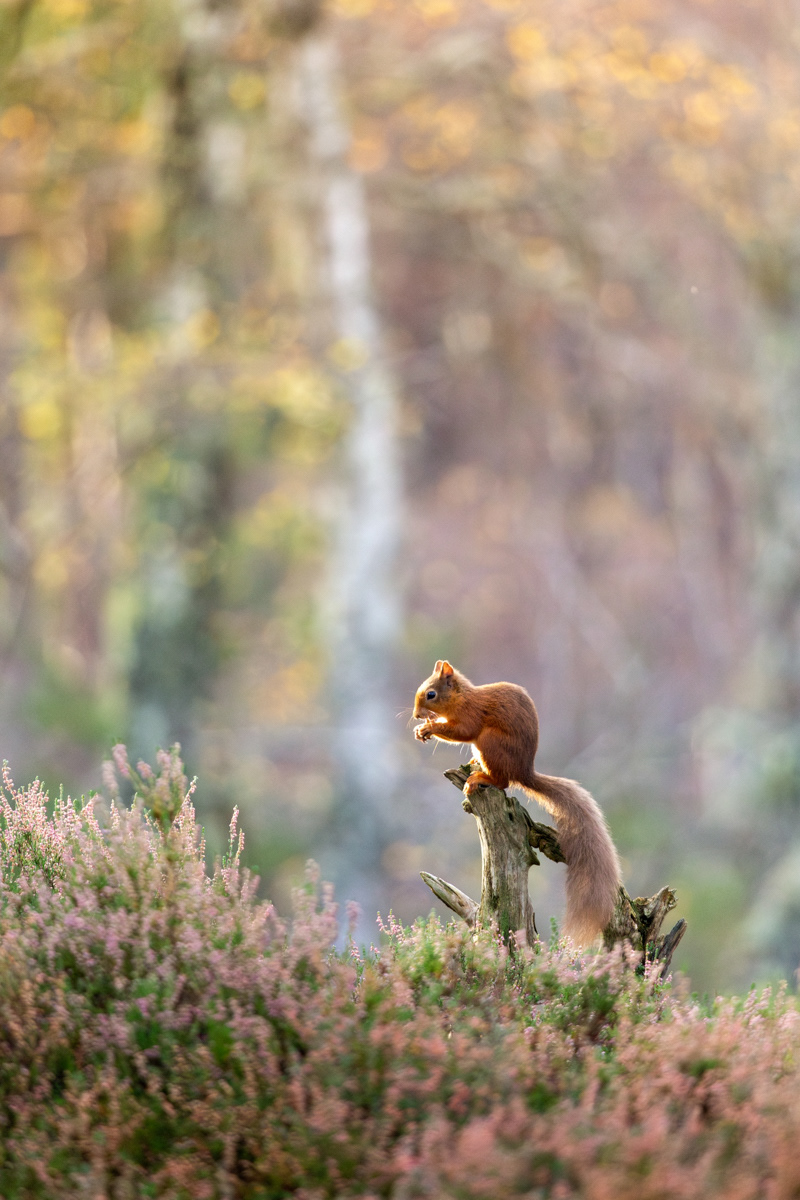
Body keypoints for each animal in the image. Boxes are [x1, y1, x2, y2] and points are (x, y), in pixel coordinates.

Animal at [413, 660, 621, 946]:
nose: (415, 715)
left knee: (502, 782)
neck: (461, 697)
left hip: (489, 742)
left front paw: (429, 728)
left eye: (431, 694)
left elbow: (463, 731)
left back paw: (480, 777)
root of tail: (524, 772)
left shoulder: (471, 715)